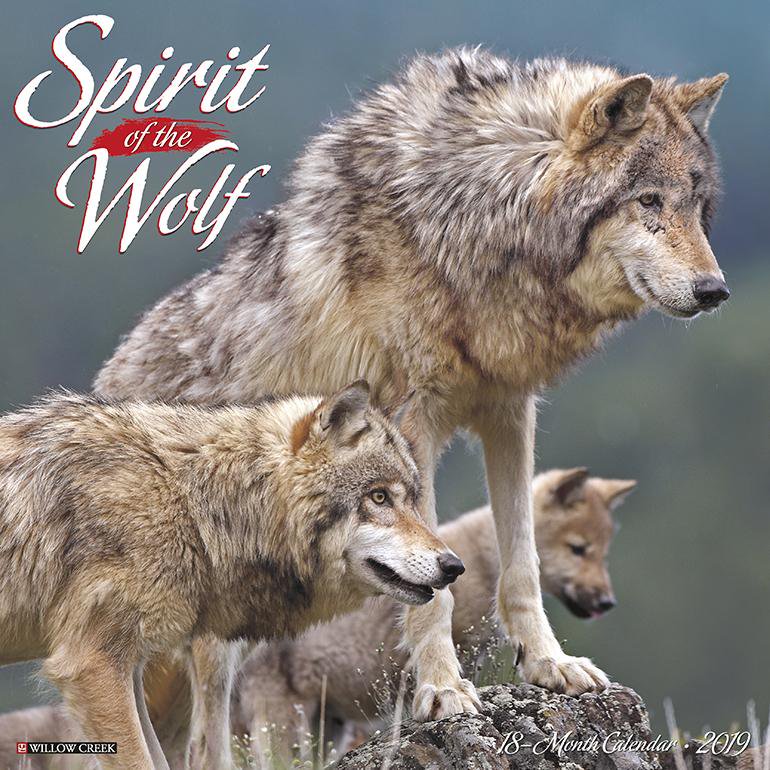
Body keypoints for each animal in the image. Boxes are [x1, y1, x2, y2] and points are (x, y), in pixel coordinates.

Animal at [0, 383, 461, 770]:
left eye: (414, 500)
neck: (191, 501)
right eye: (379, 497)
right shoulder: (91, 665)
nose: (453, 566)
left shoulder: (126, 665)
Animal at [231, 467, 636, 765]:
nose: (607, 602)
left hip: (325, 724)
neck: (484, 560)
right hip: (280, 719)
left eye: (603, 551)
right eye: (578, 549)